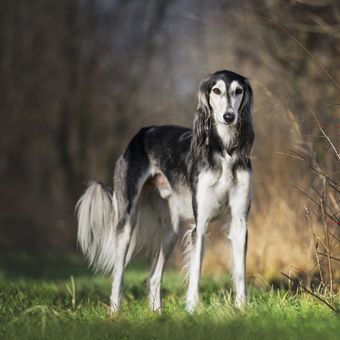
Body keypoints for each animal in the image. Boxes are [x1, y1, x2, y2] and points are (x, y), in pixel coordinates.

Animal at [75, 69, 254, 314]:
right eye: (216, 90)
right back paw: (114, 311)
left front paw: (242, 309)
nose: (229, 116)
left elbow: (241, 272)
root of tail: (141, 133)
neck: (224, 151)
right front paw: (191, 310)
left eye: (238, 90)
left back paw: (157, 313)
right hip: (127, 220)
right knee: (118, 274)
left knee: (153, 277)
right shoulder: (201, 224)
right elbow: (195, 271)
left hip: (171, 229)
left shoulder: (239, 222)